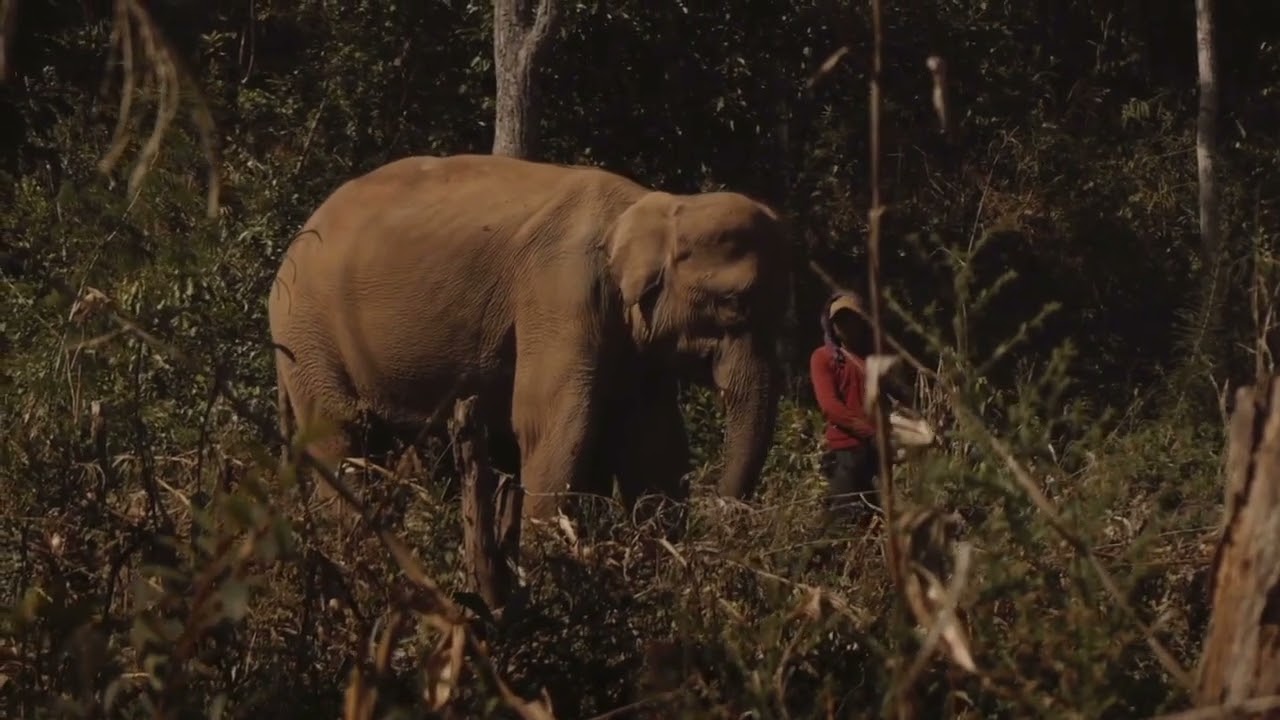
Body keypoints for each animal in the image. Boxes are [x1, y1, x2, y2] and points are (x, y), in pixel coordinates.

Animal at [267, 153, 788, 527]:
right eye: (734, 303)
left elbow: (653, 442)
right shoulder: (561, 293)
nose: (721, 510)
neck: (657, 204)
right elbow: (551, 423)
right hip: (308, 333)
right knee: (340, 435)